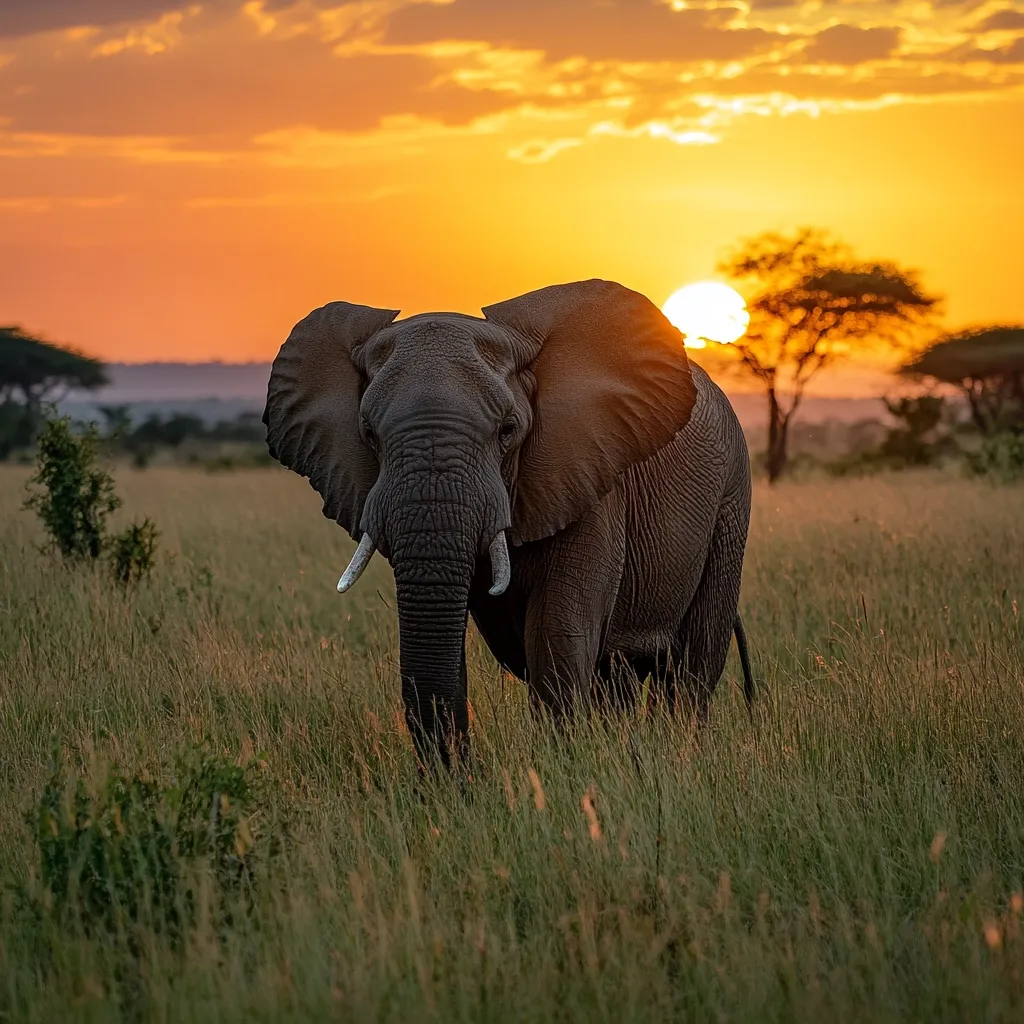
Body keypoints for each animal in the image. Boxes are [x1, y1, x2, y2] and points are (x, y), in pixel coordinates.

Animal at [263, 279, 753, 768]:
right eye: (368, 433)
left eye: (508, 430)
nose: (463, 775)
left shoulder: (591, 482)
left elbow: (557, 635)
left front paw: (563, 769)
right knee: (621, 676)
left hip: (731, 501)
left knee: (693, 663)